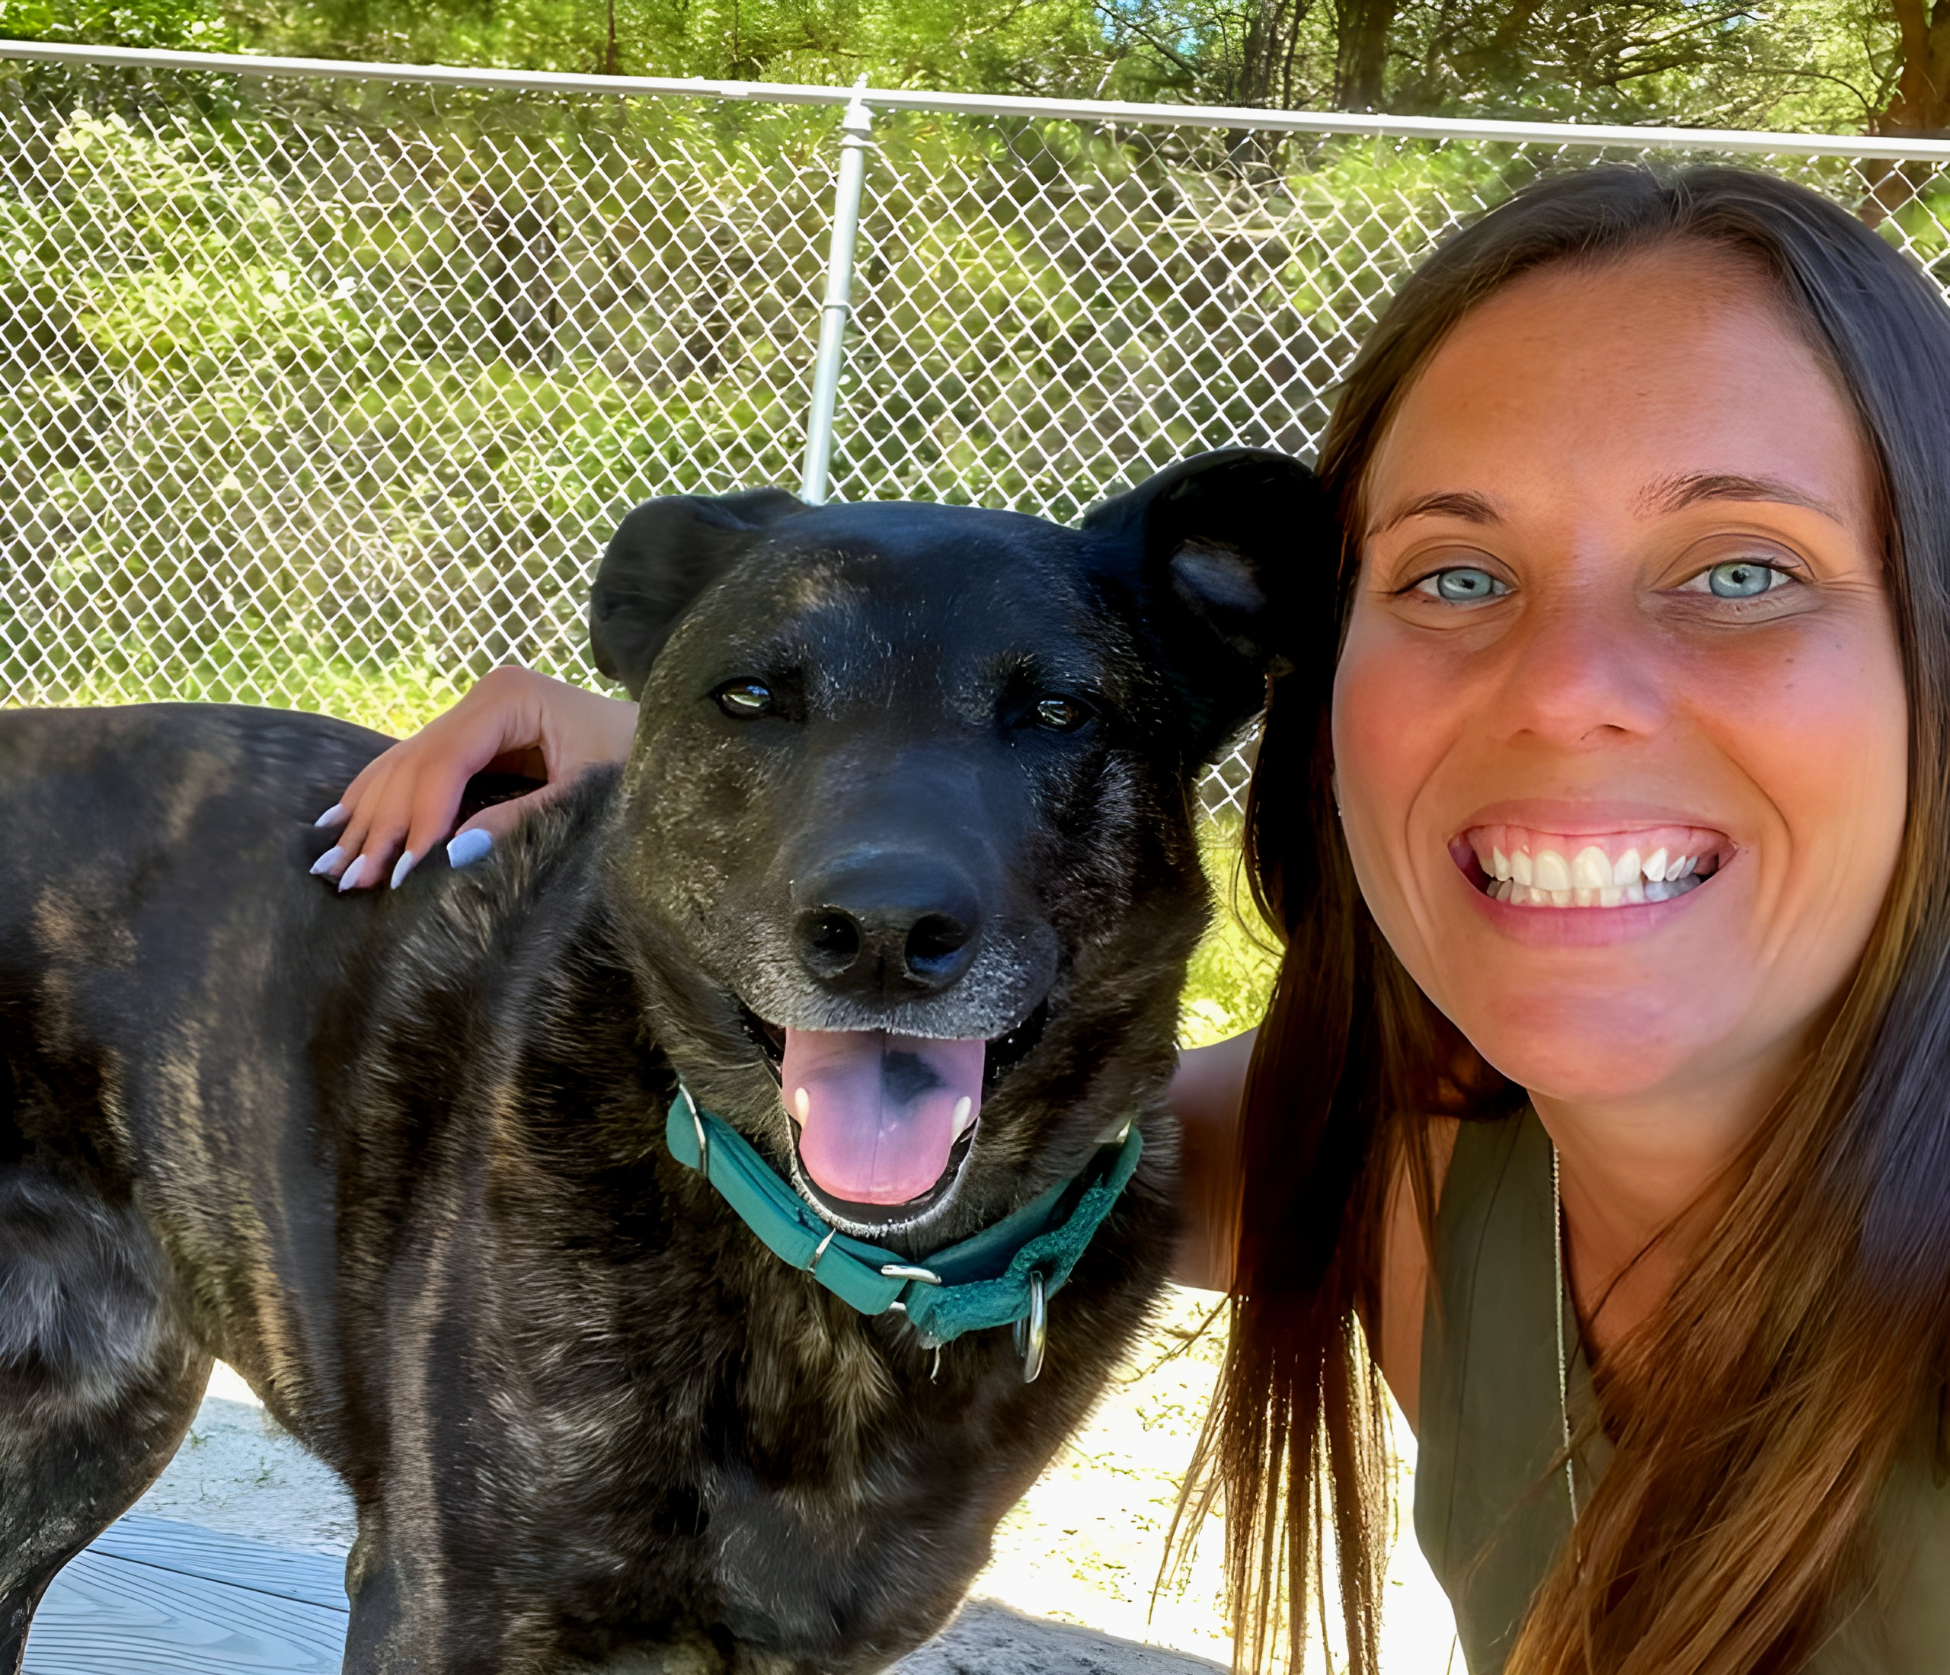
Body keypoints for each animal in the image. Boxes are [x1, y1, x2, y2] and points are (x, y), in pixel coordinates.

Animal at [0, 448, 1326, 1675]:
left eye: (1059, 713)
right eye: (750, 696)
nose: (882, 931)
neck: (839, 1288)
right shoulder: (444, 1612)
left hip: (86, 1424)